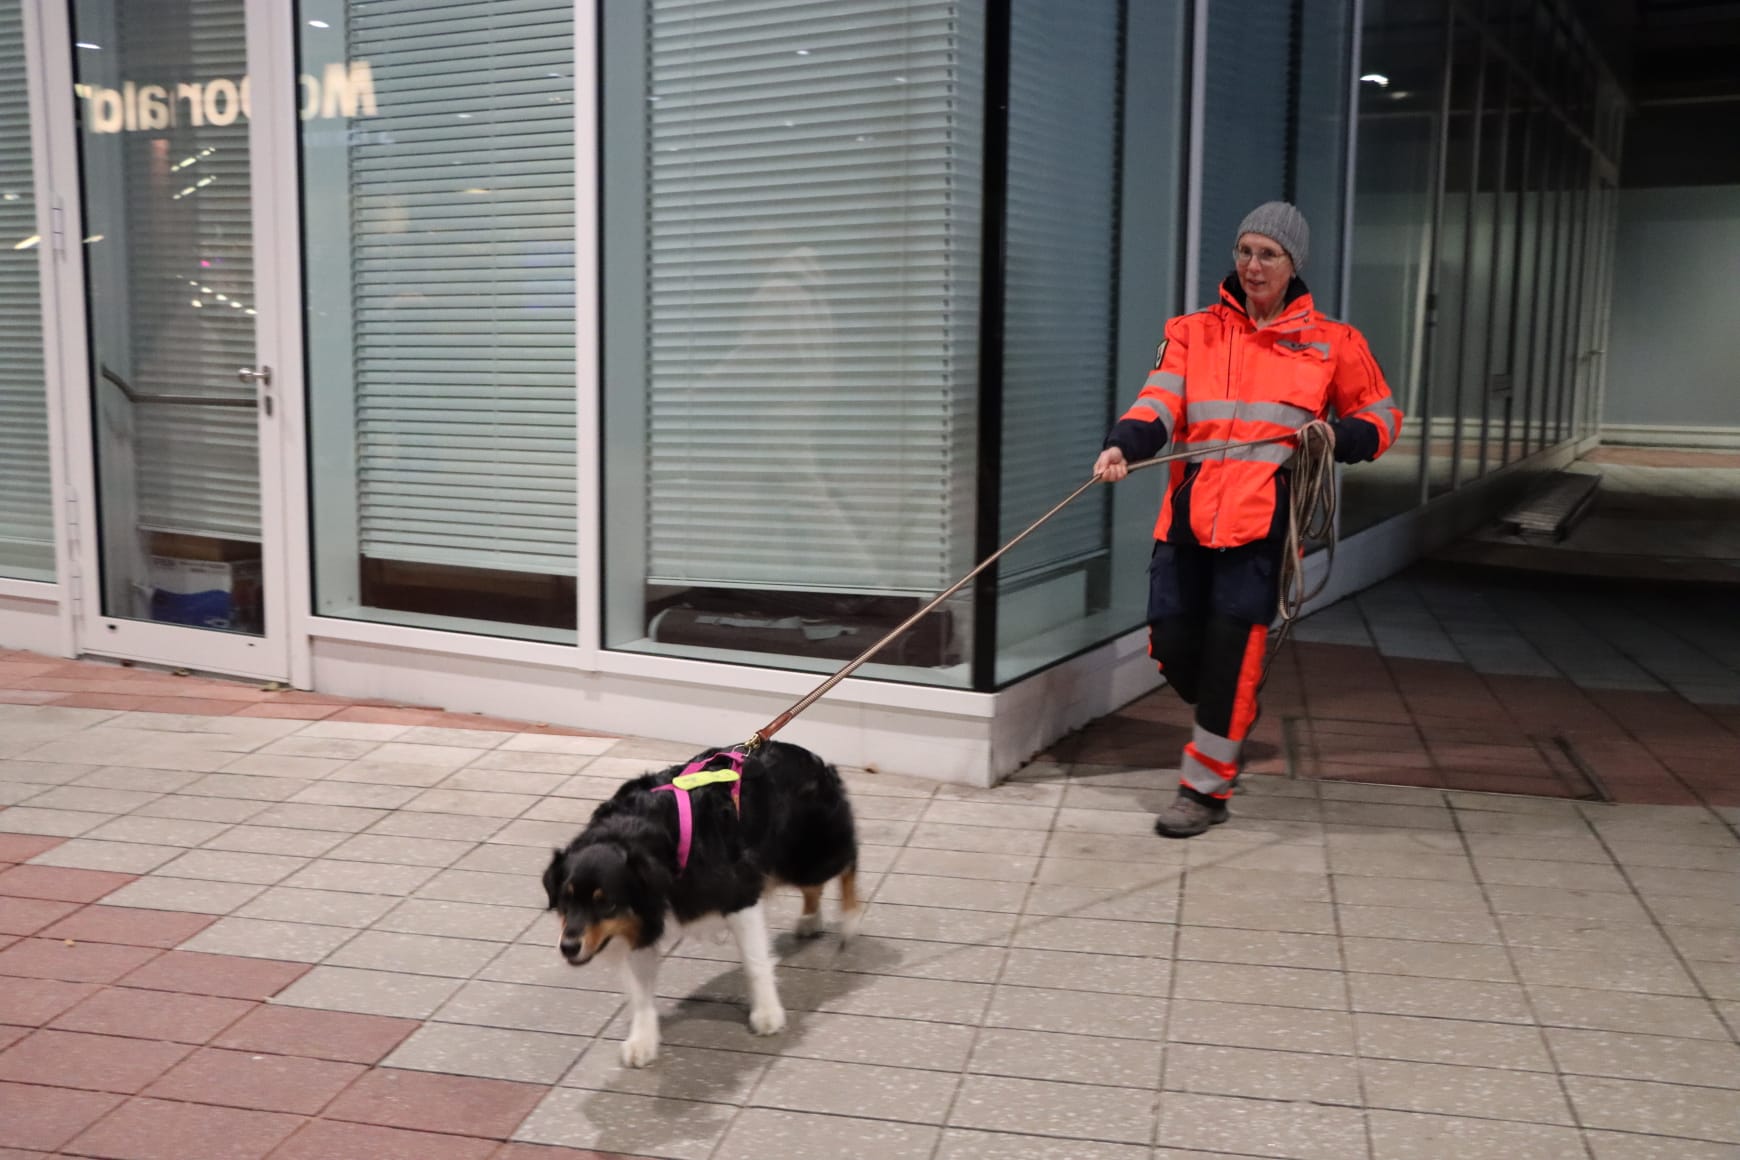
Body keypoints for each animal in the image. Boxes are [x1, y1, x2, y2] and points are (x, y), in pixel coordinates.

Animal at [542, 739, 861, 1067]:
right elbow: (640, 991)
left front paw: (767, 1014)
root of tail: (813, 758)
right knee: (816, 886)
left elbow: (755, 962)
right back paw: (811, 919)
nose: (568, 947)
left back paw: (850, 918)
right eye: (565, 900)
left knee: (847, 862)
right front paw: (643, 1040)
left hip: (810, 854)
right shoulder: (640, 921)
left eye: (606, 904)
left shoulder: (740, 895)